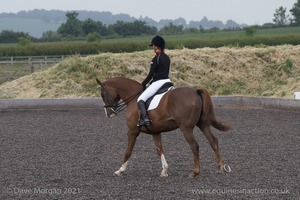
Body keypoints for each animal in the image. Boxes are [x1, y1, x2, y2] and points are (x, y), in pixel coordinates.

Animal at [96, 76, 232, 178]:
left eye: (102, 94)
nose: (109, 114)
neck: (133, 98)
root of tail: (195, 91)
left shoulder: (132, 131)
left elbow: (128, 150)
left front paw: (120, 170)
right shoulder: (155, 132)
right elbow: (159, 149)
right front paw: (164, 171)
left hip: (186, 128)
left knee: (195, 146)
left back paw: (195, 172)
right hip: (203, 124)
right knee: (213, 141)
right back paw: (221, 167)